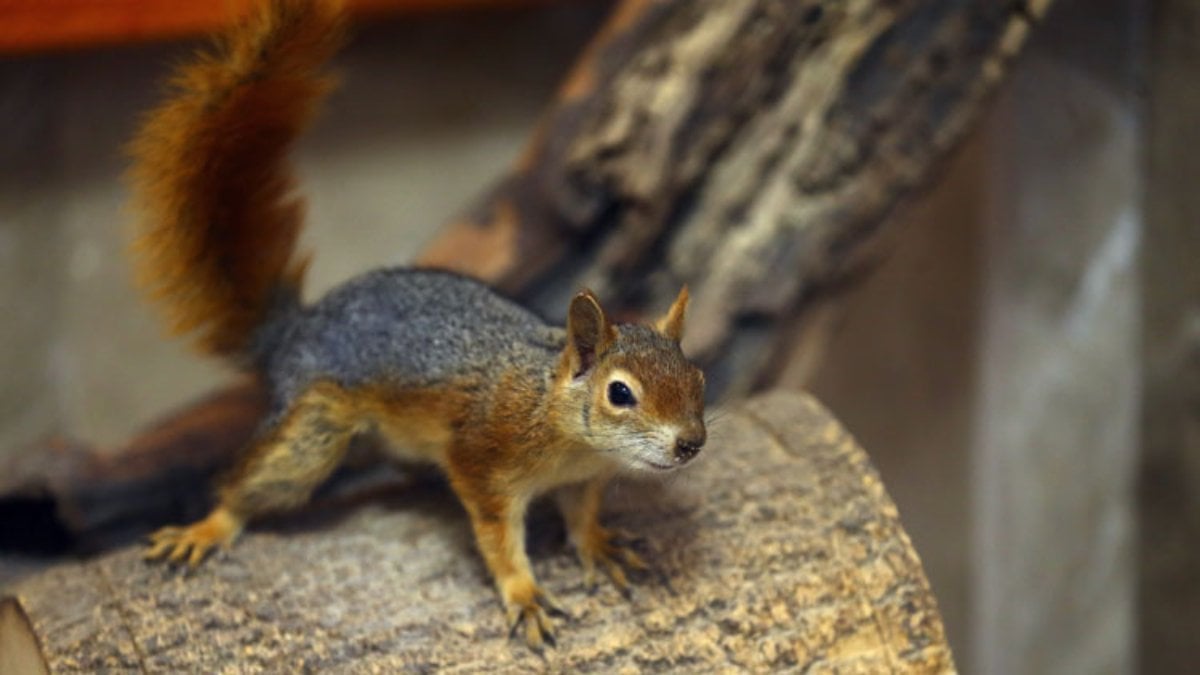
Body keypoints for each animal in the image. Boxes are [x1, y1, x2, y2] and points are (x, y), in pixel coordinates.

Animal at [133, 0, 700, 648]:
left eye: (698, 379)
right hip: (315, 429)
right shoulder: (484, 462)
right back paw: (207, 527)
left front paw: (598, 547)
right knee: (253, 481)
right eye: (620, 393)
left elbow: (582, 517)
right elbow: (498, 538)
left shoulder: (583, 480)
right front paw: (524, 594)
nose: (690, 443)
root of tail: (292, 332)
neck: (557, 422)